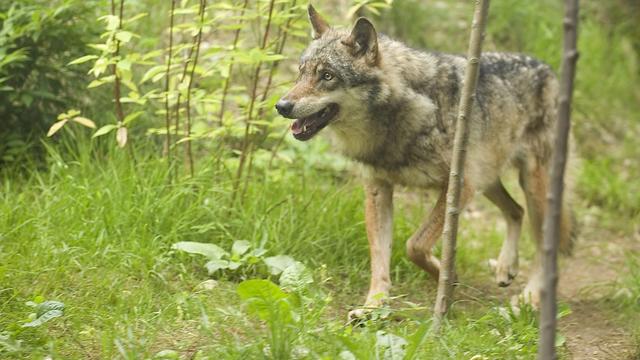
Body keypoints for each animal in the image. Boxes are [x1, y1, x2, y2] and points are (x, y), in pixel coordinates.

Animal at [276, 4, 576, 316]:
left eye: (327, 76)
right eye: (301, 73)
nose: (281, 106)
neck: (397, 120)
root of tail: (548, 68)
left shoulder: (459, 187)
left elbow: (414, 246)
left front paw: (447, 277)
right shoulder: (378, 190)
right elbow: (379, 258)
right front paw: (374, 307)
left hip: (530, 186)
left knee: (545, 243)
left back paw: (530, 297)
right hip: (487, 180)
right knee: (516, 211)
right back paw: (506, 267)